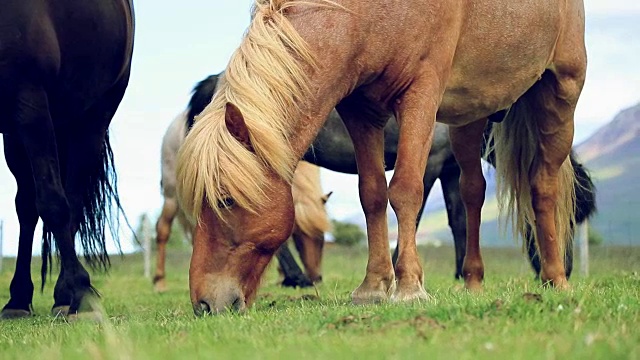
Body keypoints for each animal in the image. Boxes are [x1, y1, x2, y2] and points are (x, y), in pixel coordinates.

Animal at [0, 0, 135, 320]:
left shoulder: (30, 101)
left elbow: (54, 203)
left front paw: (81, 290)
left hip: (90, 121)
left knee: (69, 201)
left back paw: (67, 293)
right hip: (16, 137)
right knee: (26, 205)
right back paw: (18, 300)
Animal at [178, 0, 588, 314]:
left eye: (226, 200)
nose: (204, 304)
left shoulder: (422, 95)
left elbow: (406, 191)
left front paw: (408, 287)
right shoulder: (360, 109)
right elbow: (373, 194)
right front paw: (374, 286)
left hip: (563, 93)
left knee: (542, 186)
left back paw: (556, 278)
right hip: (471, 116)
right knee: (474, 191)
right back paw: (474, 281)